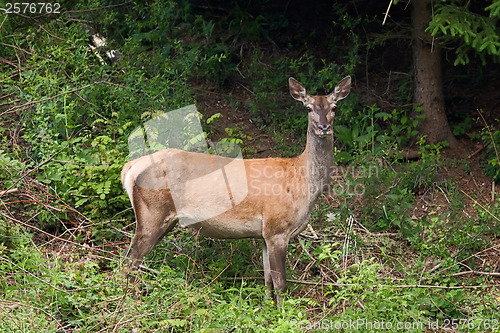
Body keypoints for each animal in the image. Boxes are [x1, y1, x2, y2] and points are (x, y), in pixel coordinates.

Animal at [121, 76, 352, 304]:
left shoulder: (264, 234)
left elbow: (267, 279)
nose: (324, 126)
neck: (304, 182)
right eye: (308, 108)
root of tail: (131, 167)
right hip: (151, 213)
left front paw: (267, 306)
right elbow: (281, 284)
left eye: (334, 107)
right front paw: (283, 311)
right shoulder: (277, 228)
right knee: (129, 264)